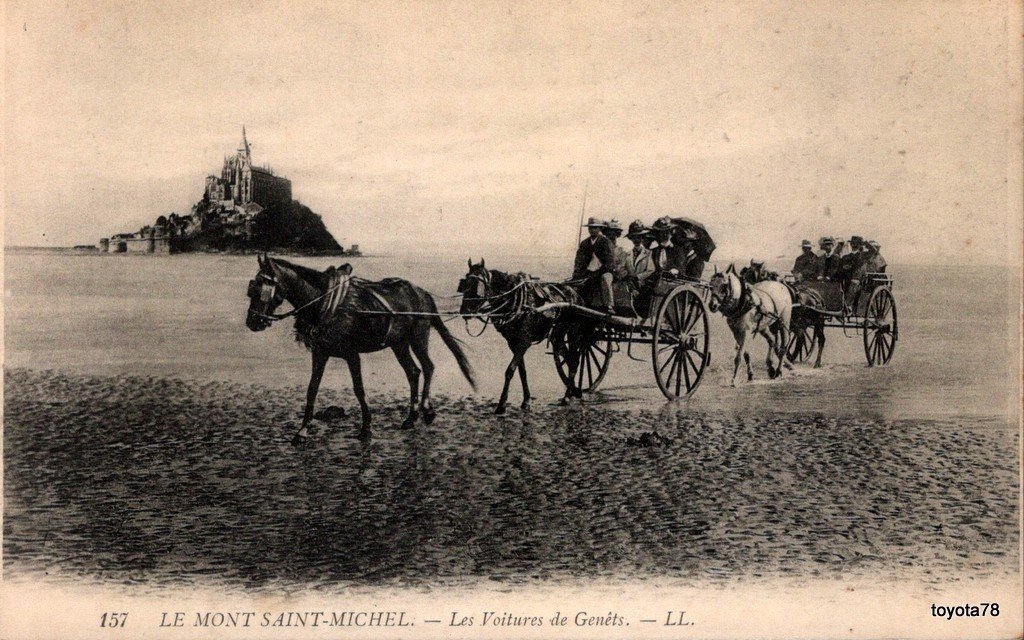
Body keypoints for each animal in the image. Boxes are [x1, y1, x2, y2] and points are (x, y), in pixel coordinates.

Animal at [247, 251, 475, 442]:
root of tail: (423, 293)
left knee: (427, 367)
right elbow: (312, 389)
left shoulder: (351, 354)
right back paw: (411, 417)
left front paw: (366, 428)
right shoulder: (320, 353)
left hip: (418, 336)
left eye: (262, 288)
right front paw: (302, 431)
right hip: (398, 343)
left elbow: (359, 390)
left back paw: (426, 410)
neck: (326, 303)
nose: (252, 322)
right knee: (413, 372)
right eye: (251, 290)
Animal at [458, 257, 581, 411]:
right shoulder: (513, 342)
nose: (464, 311)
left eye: (478, 285)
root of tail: (574, 292)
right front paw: (526, 400)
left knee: (574, 360)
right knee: (570, 359)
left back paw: (568, 396)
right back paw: (572, 393)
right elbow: (522, 371)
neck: (513, 300)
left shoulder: (524, 342)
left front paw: (502, 404)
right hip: (557, 336)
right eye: (465, 282)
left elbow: (510, 370)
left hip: (571, 331)